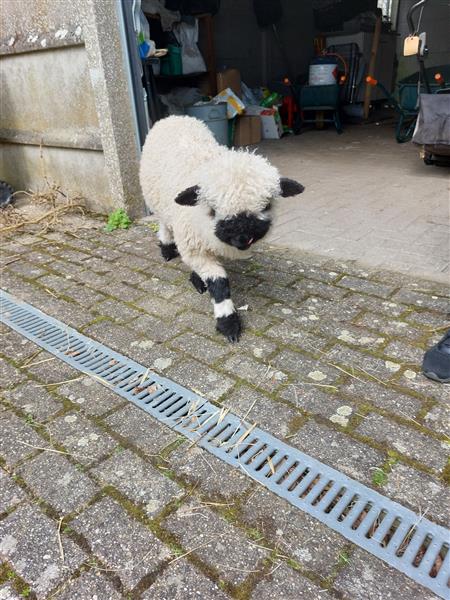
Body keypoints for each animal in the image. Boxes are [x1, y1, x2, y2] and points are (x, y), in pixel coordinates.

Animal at [139, 116, 304, 342]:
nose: (243, 238)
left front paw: (199, 280)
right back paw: (166, 248)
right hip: (156, 200)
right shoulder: (193, 244)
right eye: (213, 209)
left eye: (267, 205)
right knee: (164, 223)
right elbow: (219, 284)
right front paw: (228, 323)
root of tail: (173, 117)